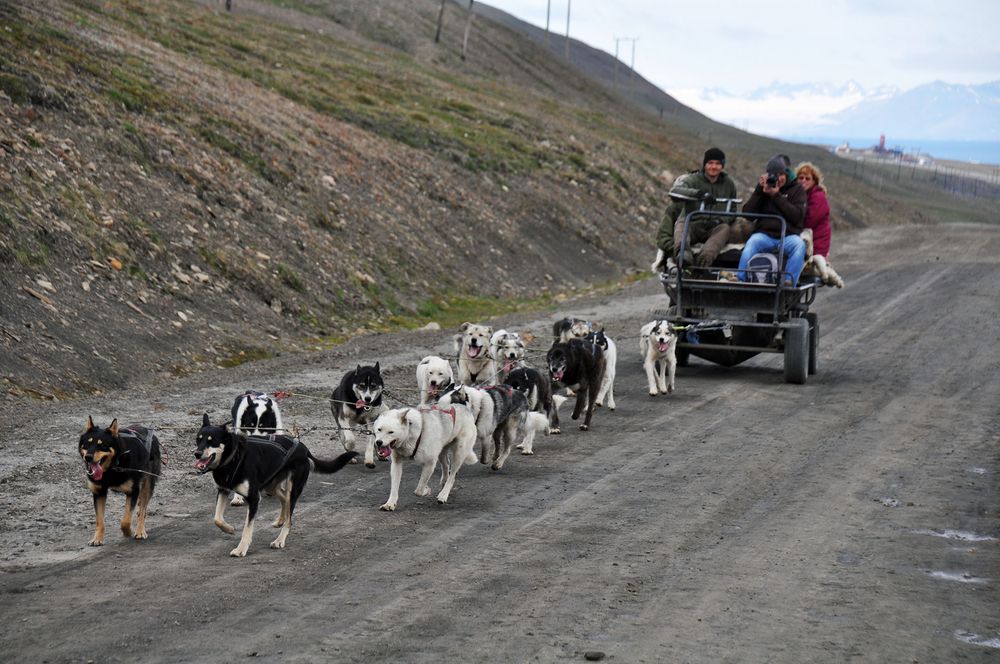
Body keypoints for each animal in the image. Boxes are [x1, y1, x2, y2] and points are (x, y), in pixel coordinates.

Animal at [78, 418, 162, 548]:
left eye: (102, 445)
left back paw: (140, 530)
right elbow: (99, 521)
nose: (88, 457)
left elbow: (126, 520)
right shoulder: (99, 493)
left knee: (143, 509)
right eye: (87, 443)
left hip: (147, 485)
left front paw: (128, 532)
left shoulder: (133, 491)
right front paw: (97, 538)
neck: (112, 468)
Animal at [192, 416, 356, 556]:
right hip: (271, 484)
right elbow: (217, 518)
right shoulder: (223, 490)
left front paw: (241, 549)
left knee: (290, 518)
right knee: (284, 499)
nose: (197, 453)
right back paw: (280, 520)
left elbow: (247, 528)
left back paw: (279, 540)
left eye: (211, 441)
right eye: (198, 440)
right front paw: (229, 529)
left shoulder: (253, 498)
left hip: (293, 488)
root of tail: (303, 448)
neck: (233, 457)